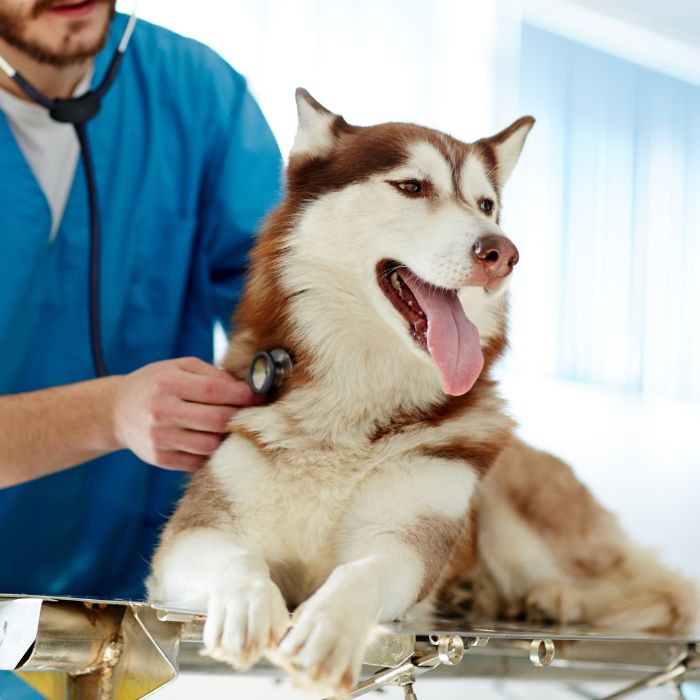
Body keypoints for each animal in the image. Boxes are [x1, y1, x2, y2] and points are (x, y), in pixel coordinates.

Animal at [146, 89, 696, 696]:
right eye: (412, 186)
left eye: (485, 205)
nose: (503, 252)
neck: (357, 401)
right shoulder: (191, 538)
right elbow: (237, 562)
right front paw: (246, 604)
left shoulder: (405, 542)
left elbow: (361, 572)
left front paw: (329, 625)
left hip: (518, 520)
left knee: (660, 592)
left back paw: (556, 598)